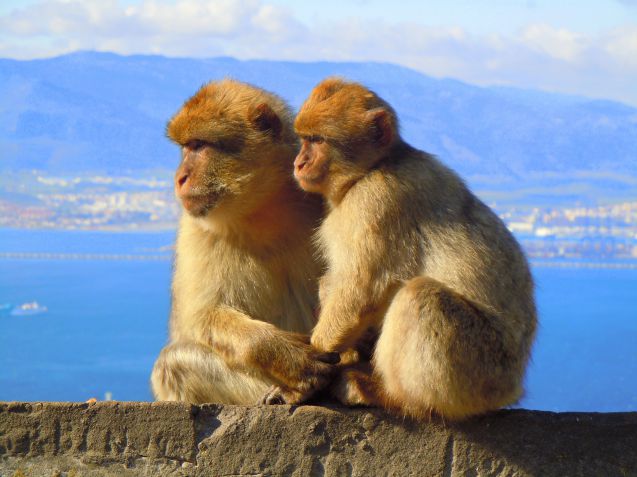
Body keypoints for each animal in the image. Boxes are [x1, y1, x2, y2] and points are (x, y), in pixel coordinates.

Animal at [150, 79, 338, 406]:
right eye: (185, 148)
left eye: (198, 146)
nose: (179, 178)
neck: (259, 211)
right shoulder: (195, 231)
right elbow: (203, 315)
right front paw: (286, 355)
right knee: (173, 365)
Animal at [264, 78, 536, 420]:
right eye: (303, 139)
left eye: (318, 140)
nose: (299, 163)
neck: (372, 168)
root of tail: (514, 385)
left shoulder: (377, 200)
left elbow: (361, 291)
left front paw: (304, 380)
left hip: (483, 369)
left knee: (419, 297)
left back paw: (392, 395)